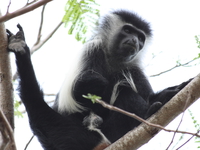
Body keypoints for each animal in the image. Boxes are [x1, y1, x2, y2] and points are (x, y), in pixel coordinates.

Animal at [7, 9, 191, 149]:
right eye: (128, 30)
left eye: (141, 37)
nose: (135, 41)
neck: (113, 60)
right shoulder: (92, 51)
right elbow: (82, 90)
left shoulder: (134, 67)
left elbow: (145, 90)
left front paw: (173, 91)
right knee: (124, 93)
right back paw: (145, 114)